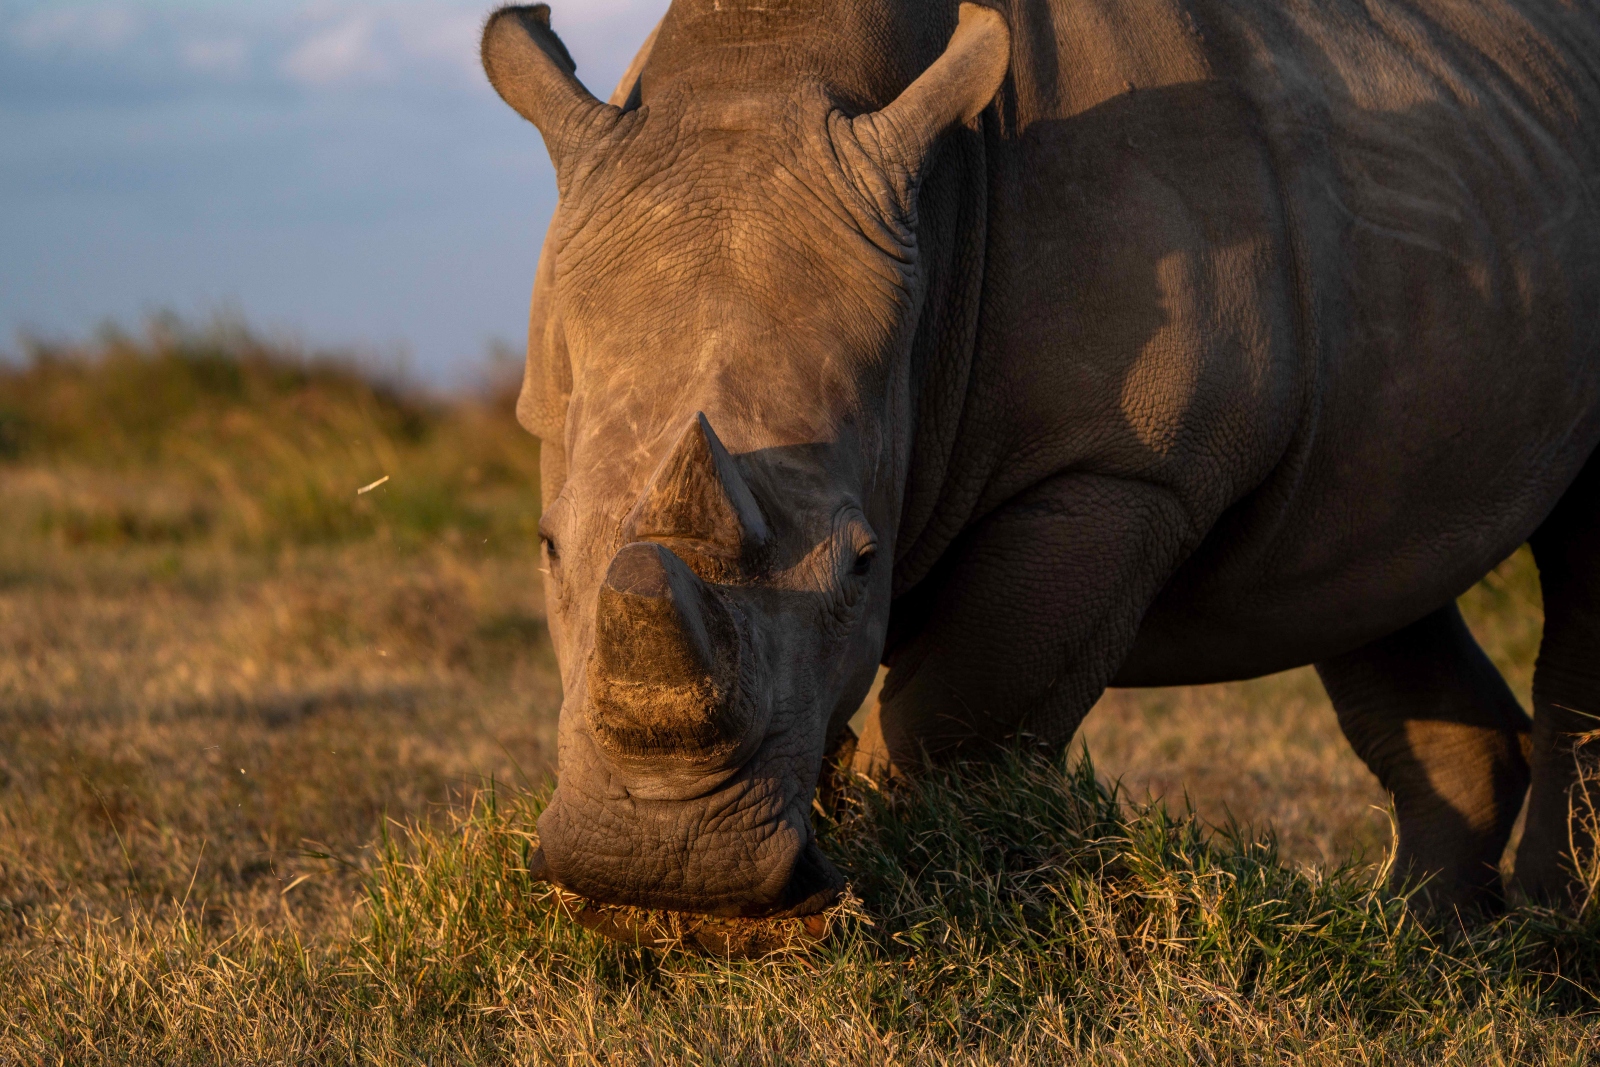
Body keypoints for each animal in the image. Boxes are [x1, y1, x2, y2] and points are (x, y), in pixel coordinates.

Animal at [481, 0, 1600, 926]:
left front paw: (897, 899)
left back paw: (1545, 943)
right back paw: (1423, 946)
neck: (767, 67)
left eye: (862, 563)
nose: (663, 867)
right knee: (1363, 571)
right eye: (546, 547)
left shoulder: (1123, 467)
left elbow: (954, 720)